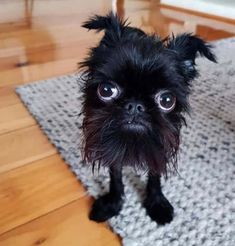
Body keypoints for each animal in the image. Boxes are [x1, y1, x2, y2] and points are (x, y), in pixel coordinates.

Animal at [79, 13, 217, 225]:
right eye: (106, 90)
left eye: (167, 100)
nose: (135, 106)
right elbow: (115, 176)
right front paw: (112, 203)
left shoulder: (160, 148)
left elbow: (155, 176)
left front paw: (157, 202)